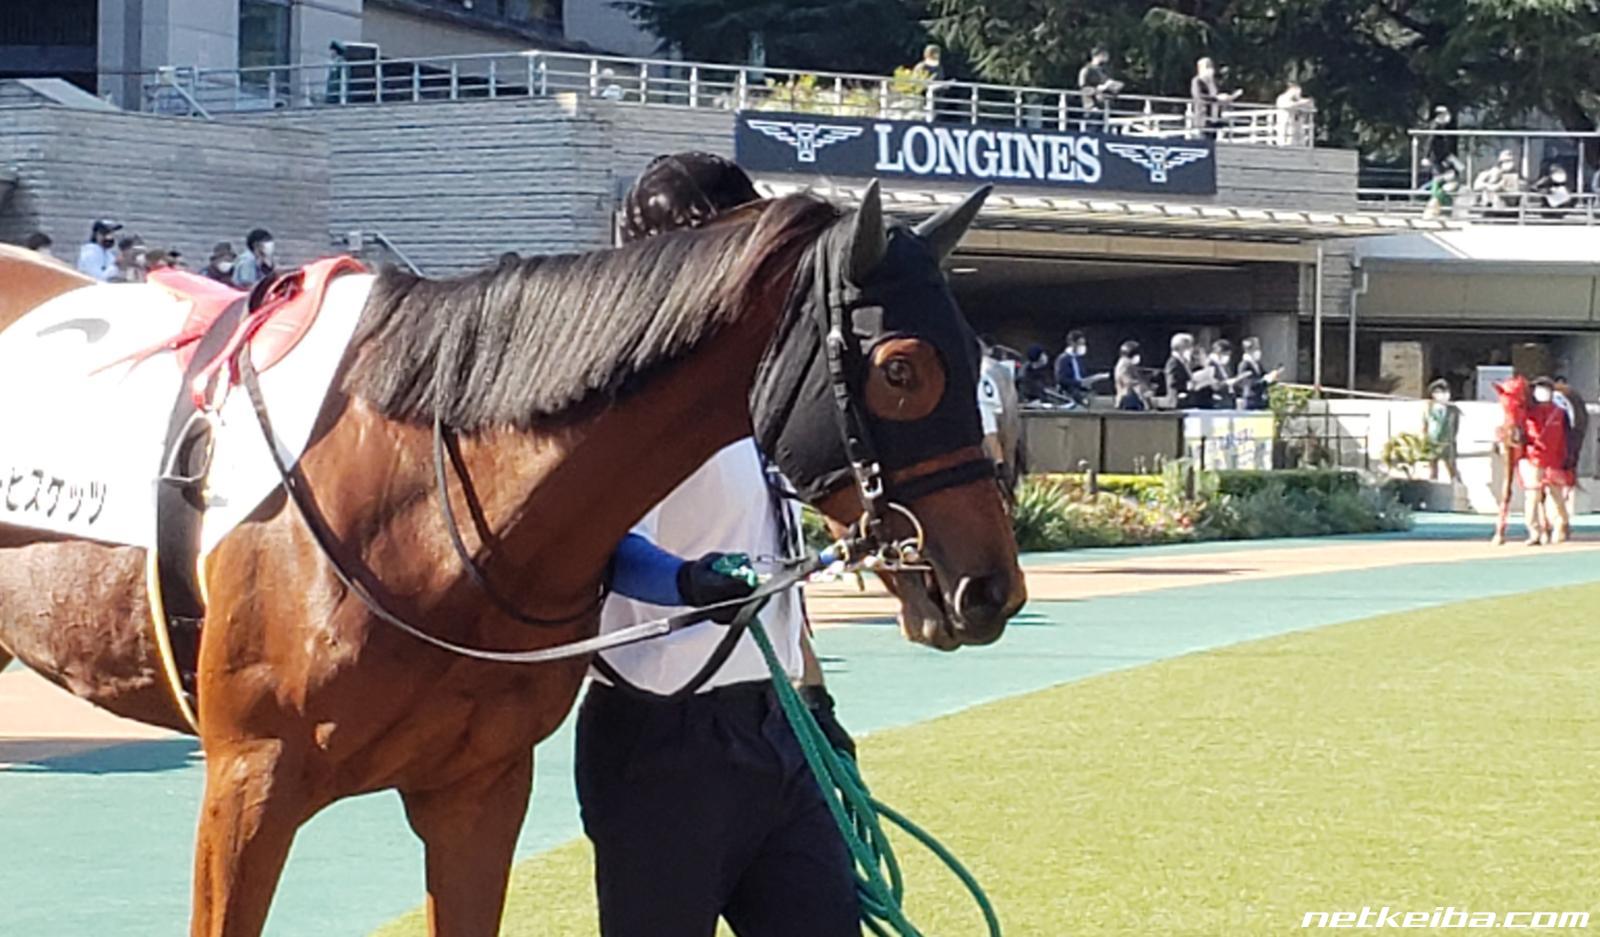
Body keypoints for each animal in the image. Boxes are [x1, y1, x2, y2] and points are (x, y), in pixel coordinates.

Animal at [0, 183, 1025, 936]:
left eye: (978, 351)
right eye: (900, 367)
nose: (989, 588)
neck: (419, 508)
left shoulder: (480, 790)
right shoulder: (248, 784)